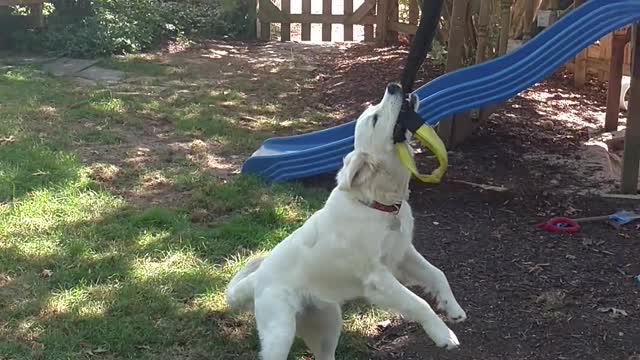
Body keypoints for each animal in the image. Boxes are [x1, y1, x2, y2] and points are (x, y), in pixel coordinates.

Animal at [228, 82, 468, 360]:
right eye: (375, 119)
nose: (394, 86)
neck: (378, 204)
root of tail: (257, 278)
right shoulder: (378, 277)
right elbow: (418, 303)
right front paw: (443, 334)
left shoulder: (403, 254)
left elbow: (438, 274)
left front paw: (453, 308)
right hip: (281, 331)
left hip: (329, 322)